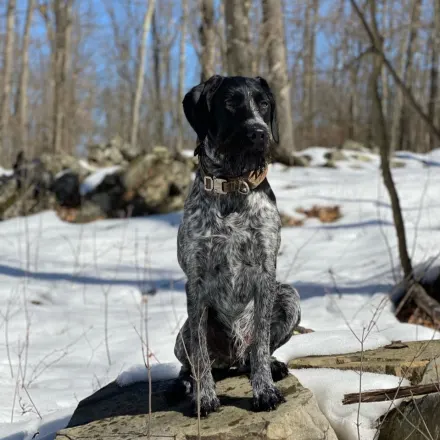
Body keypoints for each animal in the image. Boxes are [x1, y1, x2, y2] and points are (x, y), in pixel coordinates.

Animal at [174, 75, 300, 416]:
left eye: (264, 103)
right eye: (230, 103)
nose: (259, 132)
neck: (232, 185)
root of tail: (231, 356)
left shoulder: (266, 273)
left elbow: (260, 345)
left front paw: (264, 391)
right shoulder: (195, 282)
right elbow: (200, 353)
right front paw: (204, 397)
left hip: (288, 296)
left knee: (252, 354)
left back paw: (269, 366)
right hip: (183, 333)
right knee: (193, 362)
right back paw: (186, 384)